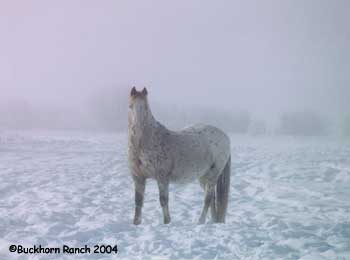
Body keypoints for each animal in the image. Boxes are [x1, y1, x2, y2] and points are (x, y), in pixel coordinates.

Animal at [127, 86, 231, 224]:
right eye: (130, 106)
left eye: (145, 108)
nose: (136, 129)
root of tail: (225, 137)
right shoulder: (138, 178)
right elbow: (138, 201)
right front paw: (136, 223)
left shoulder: (162, 178)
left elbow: (163, 200)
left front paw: (167, 222)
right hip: (203, 177)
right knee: (212, 199)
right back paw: (213, 222)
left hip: (213, 175)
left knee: (208, 199)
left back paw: (200, 221)